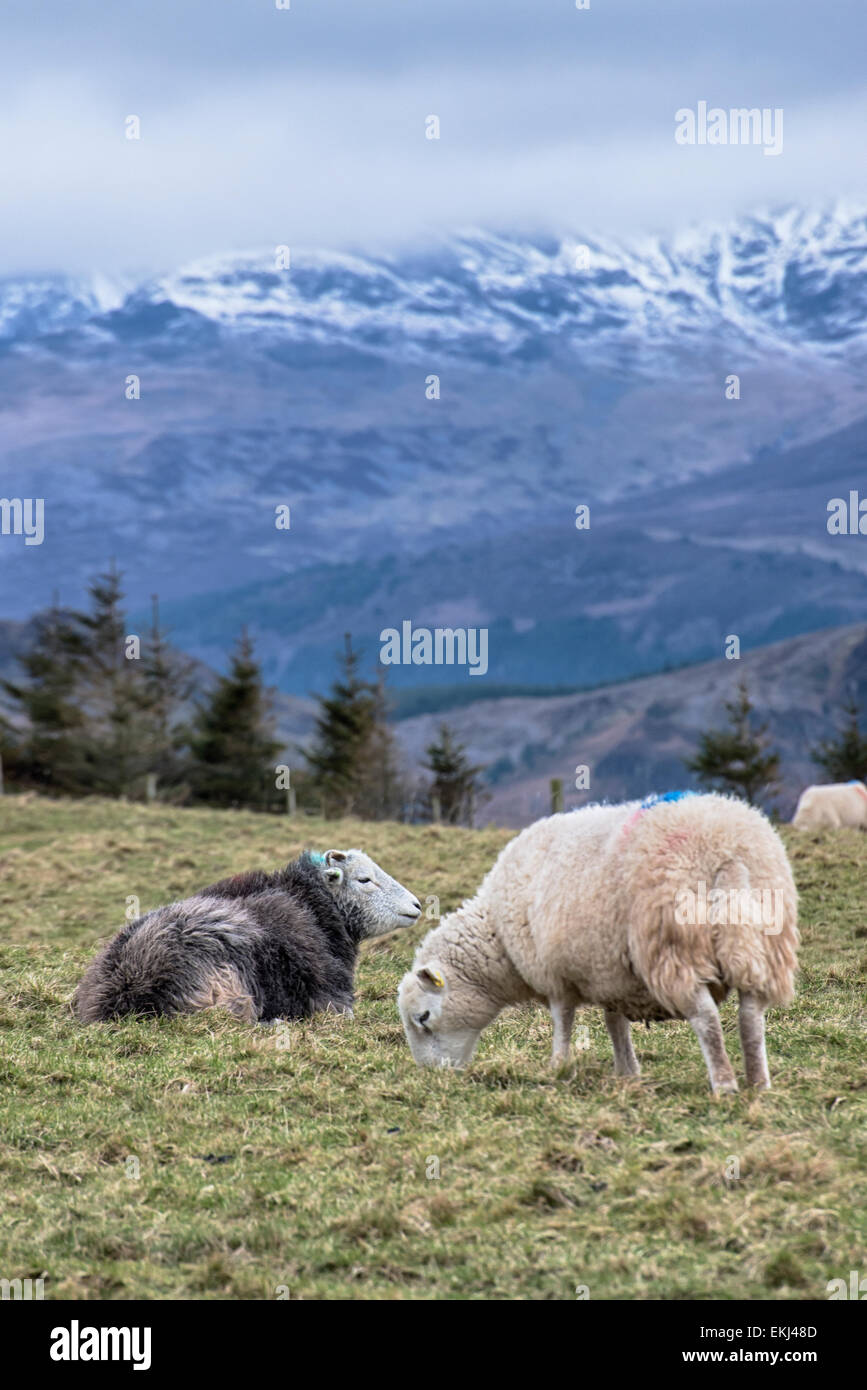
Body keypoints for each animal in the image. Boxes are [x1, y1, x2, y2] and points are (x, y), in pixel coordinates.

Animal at [400, 789, 800, 1089]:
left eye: (423, 1018)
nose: (433, 1076)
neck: (499, 938)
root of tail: (726, 853)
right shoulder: (611, 971)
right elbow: (615, 1023)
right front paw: (627, 1071)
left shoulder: (555, 971)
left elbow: (563, 1021)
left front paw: (558, 1065)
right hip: (764, 943)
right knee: (751, 1016)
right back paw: (758, 1083)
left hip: (671, 946)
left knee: (705, 1017)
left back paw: (725, 1084)